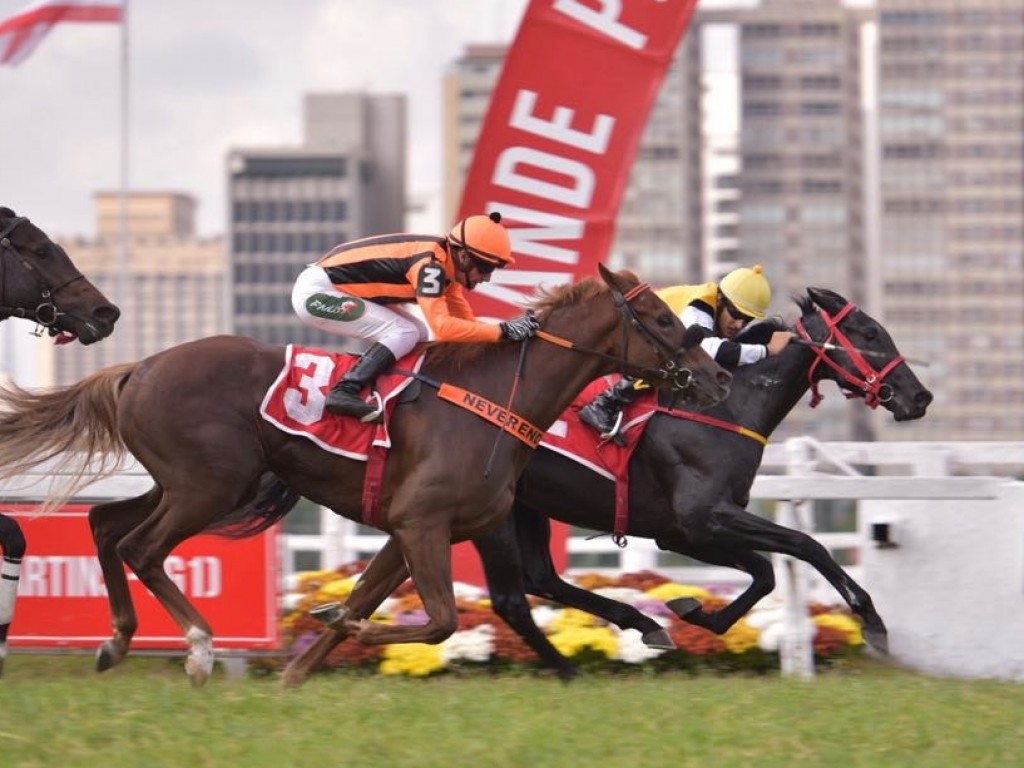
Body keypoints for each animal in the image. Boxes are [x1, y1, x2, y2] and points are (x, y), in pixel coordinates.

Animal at [0, 266, 733, 684]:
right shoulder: (422, 523)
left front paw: (301, 668)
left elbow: (363, 602)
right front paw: (342, 630)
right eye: (662, 318)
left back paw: (116, 642)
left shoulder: (409, 530)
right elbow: (437, 622)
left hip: (183, 484)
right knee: (141, 547)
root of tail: (138, 368)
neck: (498, 396)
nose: (718, 378)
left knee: (105, 524)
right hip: (209, 487)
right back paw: (201, 649)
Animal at [286, 286, 929, 684]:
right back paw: (588, 657)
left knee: (537, 584)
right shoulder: (698, 519)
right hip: (491, 512)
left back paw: (619, 639)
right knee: (515, 597)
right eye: (870, 332)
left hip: (518, 508)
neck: (726, 405)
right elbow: (804, 546)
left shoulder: (686, 532)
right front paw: (872, 622)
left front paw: (694, 611)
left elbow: (766, 571)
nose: (918, 397)